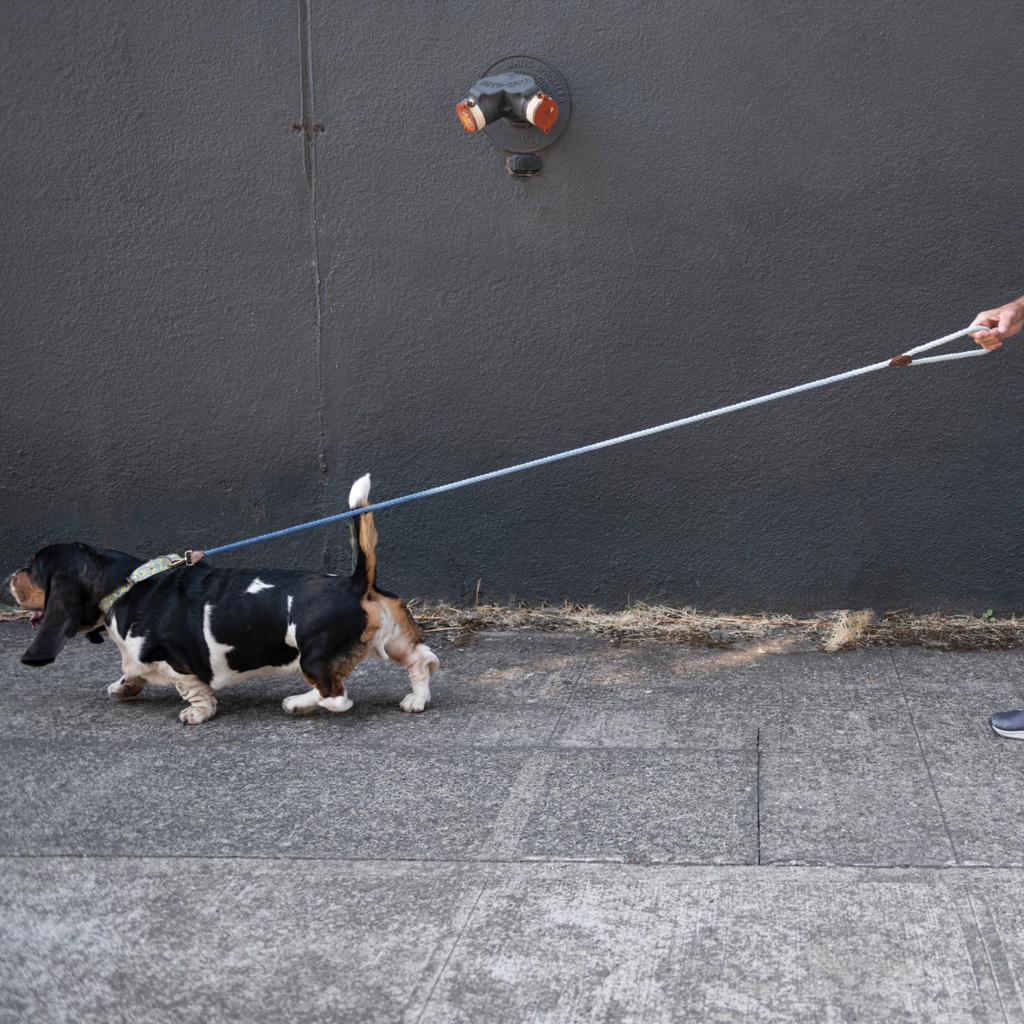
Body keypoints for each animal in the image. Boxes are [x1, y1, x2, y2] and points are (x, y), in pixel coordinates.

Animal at [8, 475, 440, 724]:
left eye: (34, 568)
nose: (9, 578)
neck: (124, 584)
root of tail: (354, 582)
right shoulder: (137, 656)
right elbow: (132, 670)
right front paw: (124, 687)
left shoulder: (176, 662)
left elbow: (193, 690)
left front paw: (195, 713)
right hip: (390, 641)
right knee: (421, 661)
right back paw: (415, 701)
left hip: (312, 655)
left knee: (336, 696)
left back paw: (298, 704)